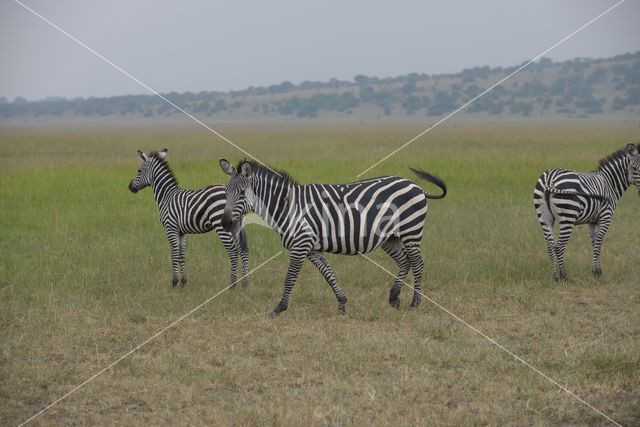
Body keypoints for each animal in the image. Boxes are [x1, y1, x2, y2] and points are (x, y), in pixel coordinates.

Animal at [128, 149, 250, 290]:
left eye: (139, 171)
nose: (130, 187)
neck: (166, 196)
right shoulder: (181, 232)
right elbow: (181, 255)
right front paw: (183, 282)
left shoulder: (171, 228)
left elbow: (174, 254)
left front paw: (174, 282)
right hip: (236, 225)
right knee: (244, 250)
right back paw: (244, 284)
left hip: (222, 226)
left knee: (233, 252)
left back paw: (232, 285)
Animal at [218, 160, 448, 318]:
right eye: (225, 192)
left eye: (241, 193)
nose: (226, 223)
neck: (289, 208)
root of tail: (416, 186)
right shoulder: (312, 248)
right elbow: (328, 274)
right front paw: (342, 303)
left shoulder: (300, 246)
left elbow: (290, 277)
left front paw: (278, 309)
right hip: (390, 238)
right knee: (404, 261)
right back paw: (394, 297)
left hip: (411, 231)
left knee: (417, 263)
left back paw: (415, 302)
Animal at [532, 142, 640, 282]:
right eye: (635, 168)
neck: (610, 184)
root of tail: (550, 179)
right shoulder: (605, 217)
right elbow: (599, 243)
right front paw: (597, 272)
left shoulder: (592, 221)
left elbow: (594, 243)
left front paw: (596, 269)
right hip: (568, 217)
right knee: (559, 247)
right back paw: (563, 277)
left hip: (544, 218)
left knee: (550, 247)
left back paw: (555, 277)